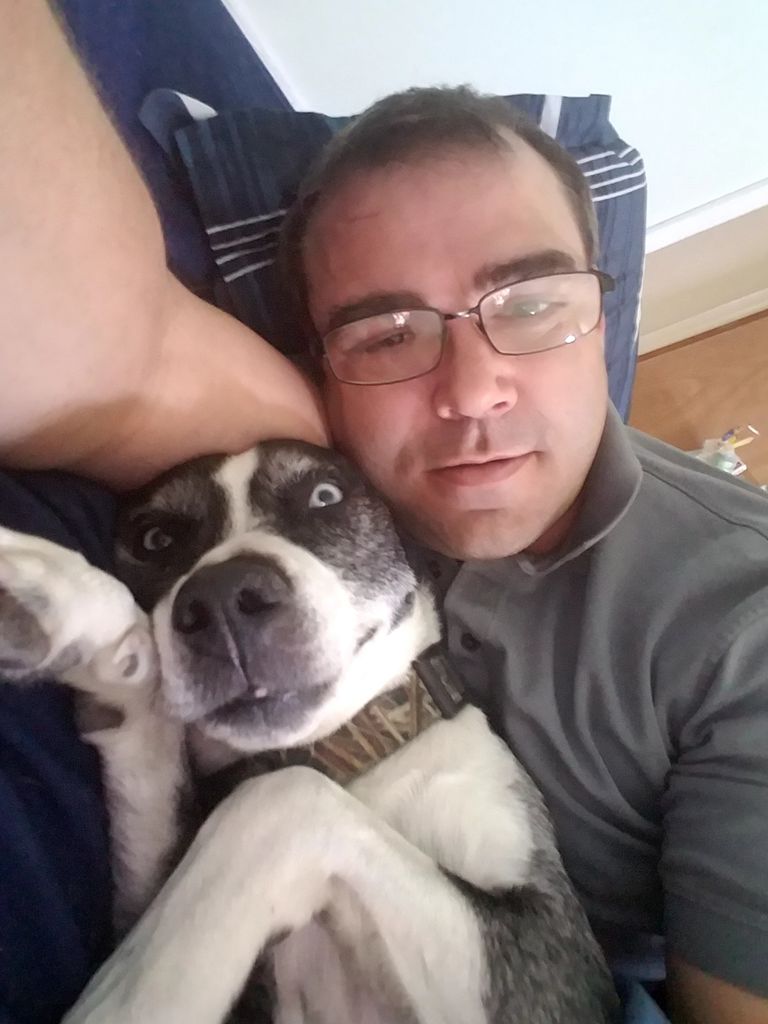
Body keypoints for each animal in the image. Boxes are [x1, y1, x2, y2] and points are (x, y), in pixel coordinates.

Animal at [0, 440, 617, 1023]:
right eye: (154, 539)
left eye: (325, 496)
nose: (223, 598)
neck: (342, 753)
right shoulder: (145, 904)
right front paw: (64, 604)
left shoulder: (555, 958)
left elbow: (281, 797)